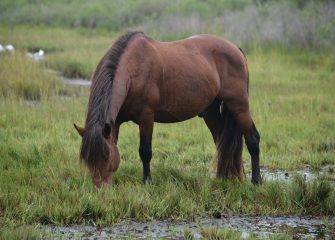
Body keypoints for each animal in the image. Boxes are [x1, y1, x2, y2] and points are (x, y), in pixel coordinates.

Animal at [74, 31, 262, 188]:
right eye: (87, 159)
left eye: (106, 156)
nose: (100, 188)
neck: (134, 69)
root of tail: (236, 49)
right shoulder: (116, 122)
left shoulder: (146, 117)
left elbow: (145, 151)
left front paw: (147, 181)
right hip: (211, 111)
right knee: (221, 141)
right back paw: (222, 177)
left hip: (239, 104)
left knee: (252, 139)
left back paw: (256, 181)